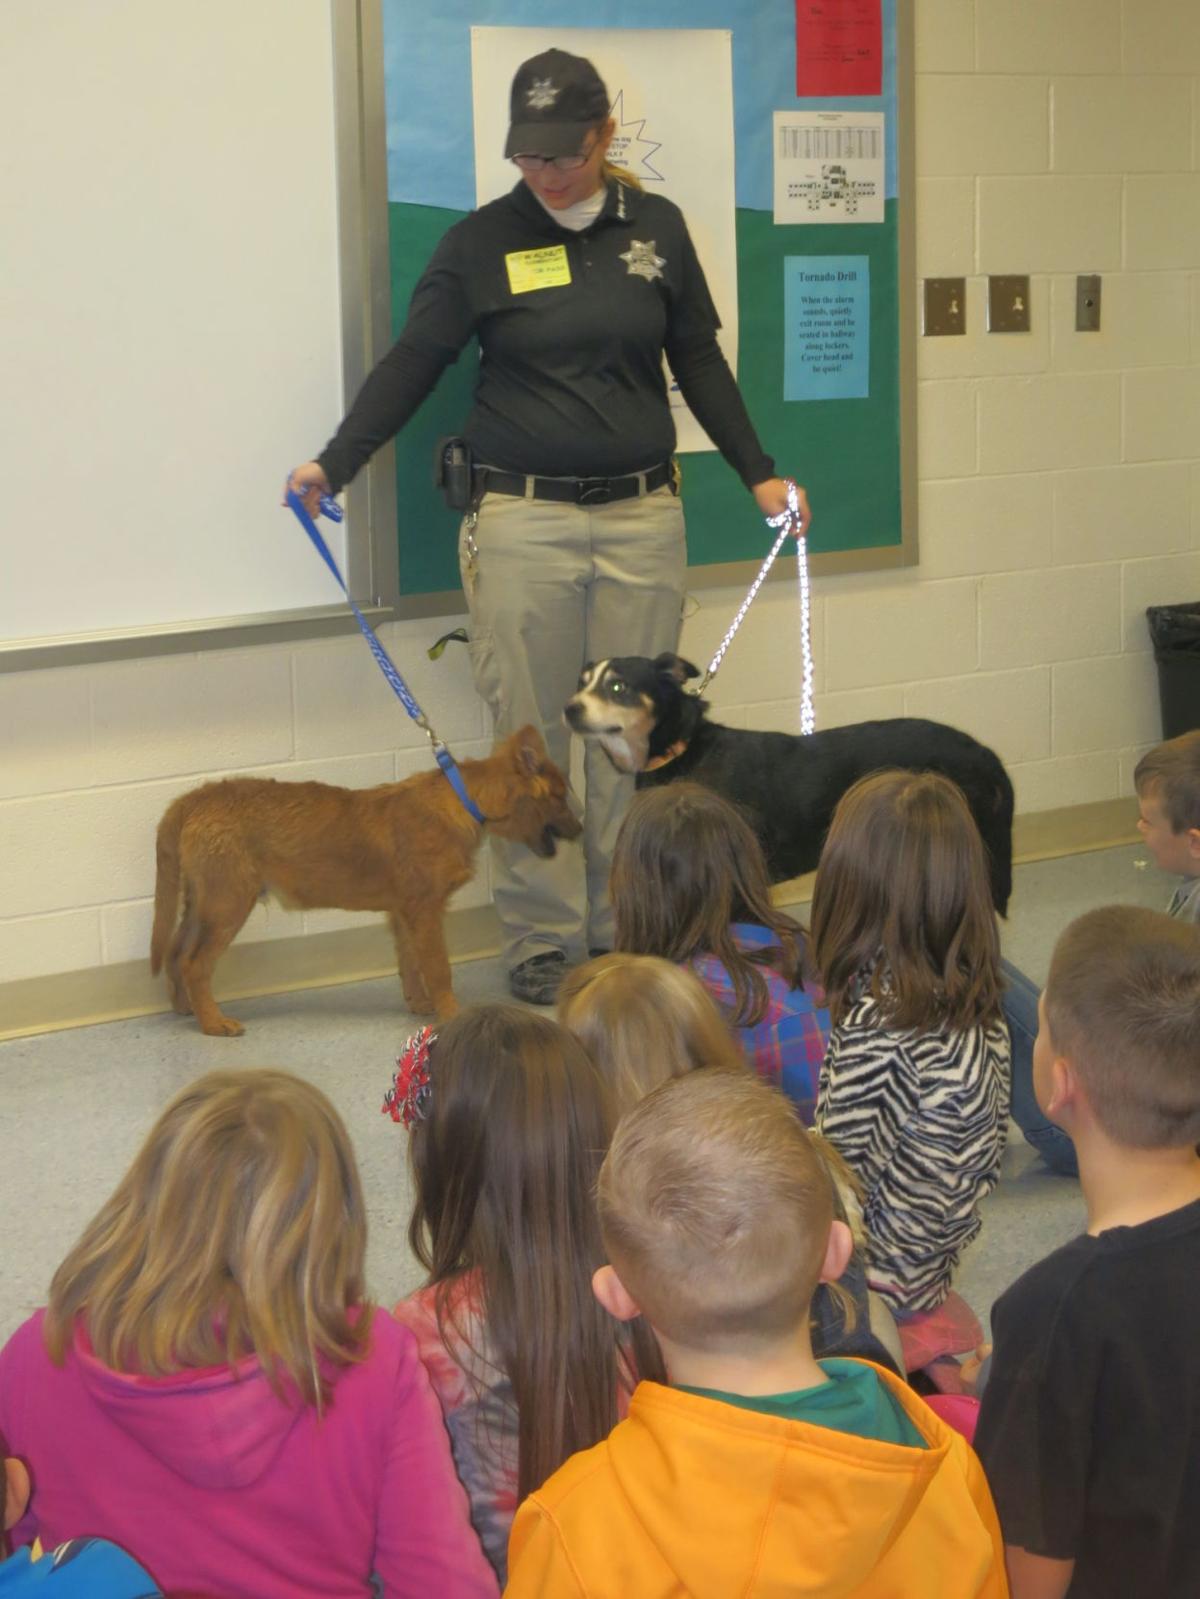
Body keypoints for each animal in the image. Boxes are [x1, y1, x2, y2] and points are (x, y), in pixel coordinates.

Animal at [150, 729, 582, 1036]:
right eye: (561, 798)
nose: (580, 830)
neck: (462, 801)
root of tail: (194, 798)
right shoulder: (425, 912)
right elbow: (439, 969)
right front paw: (451, 1014)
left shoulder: (404, 914)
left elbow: (410, 964)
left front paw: (419, 1005)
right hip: (228, 906)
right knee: (194, 963)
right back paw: (213, 1023)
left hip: (201, 904)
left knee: (174, 952)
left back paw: (185, 1008)